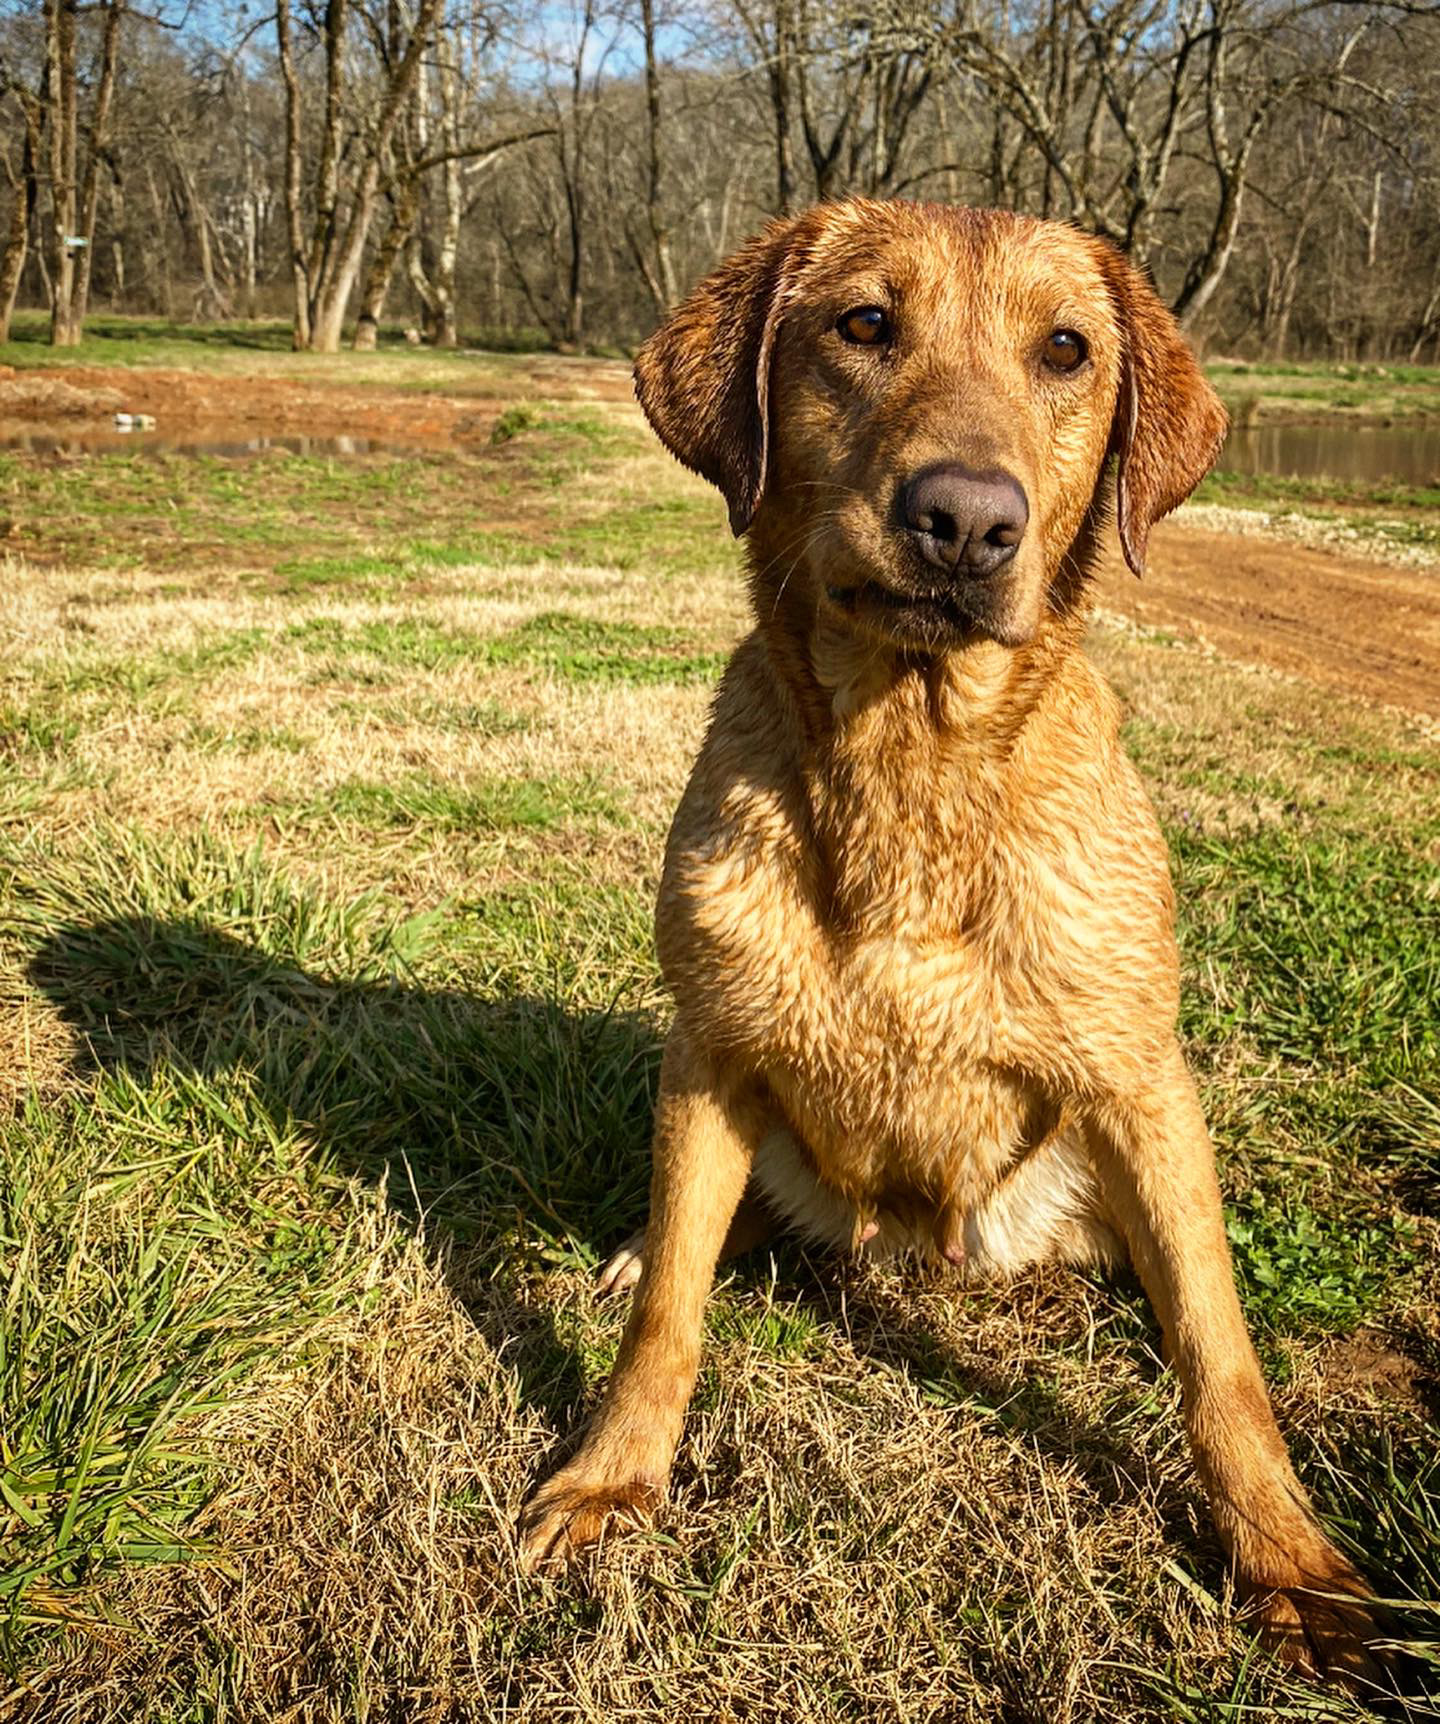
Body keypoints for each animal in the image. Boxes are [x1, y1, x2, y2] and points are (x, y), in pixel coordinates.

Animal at [517, 198, 1386, 1682]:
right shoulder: (712, 1049)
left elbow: (1222, 1355)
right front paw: (613, 1474)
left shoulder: (1145, 1084)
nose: (966, 521)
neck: (911, 769)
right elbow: (669, 1314)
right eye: (864, 324)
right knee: (709, 1229)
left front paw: (1285, 1556)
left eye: (1066, 349)